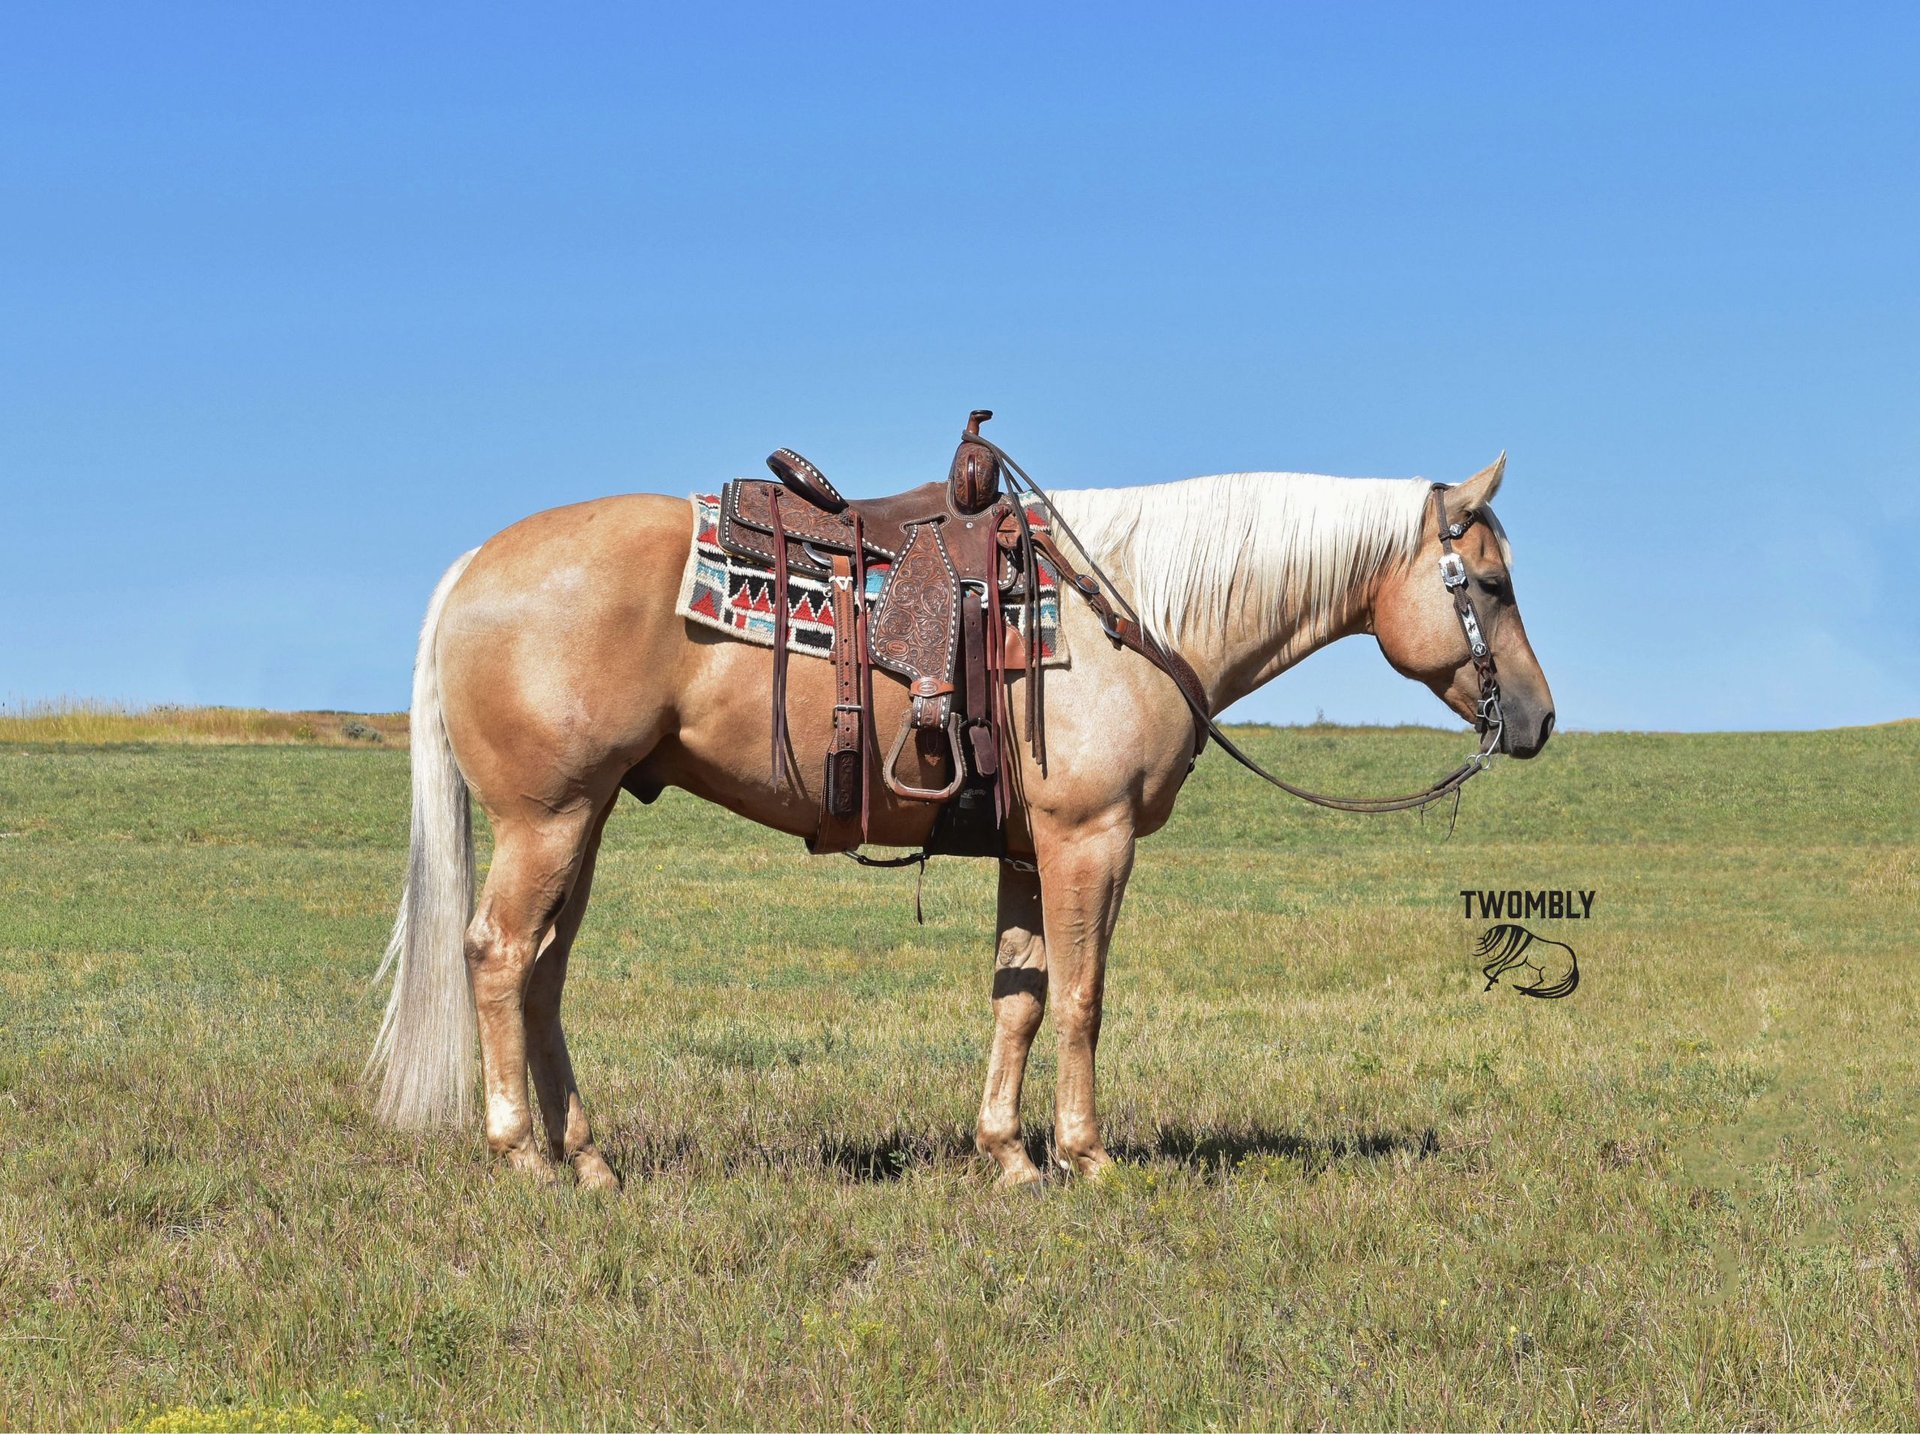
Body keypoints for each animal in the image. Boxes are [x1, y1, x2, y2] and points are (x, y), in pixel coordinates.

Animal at [368, 451, 1553, 1189]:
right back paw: (522, 1153)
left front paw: (1009, 1155)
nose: (1539, 721)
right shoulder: (1089, 838)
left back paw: (590, 1160)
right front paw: (1086, 1157)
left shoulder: (1030, 849)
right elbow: (1082, 998)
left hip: (587, 815)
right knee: (498, 952)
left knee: (545, 971)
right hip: (549, 817)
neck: (1133, 610)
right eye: (1491, 584)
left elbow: (1019, 998)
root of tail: (473, 568)